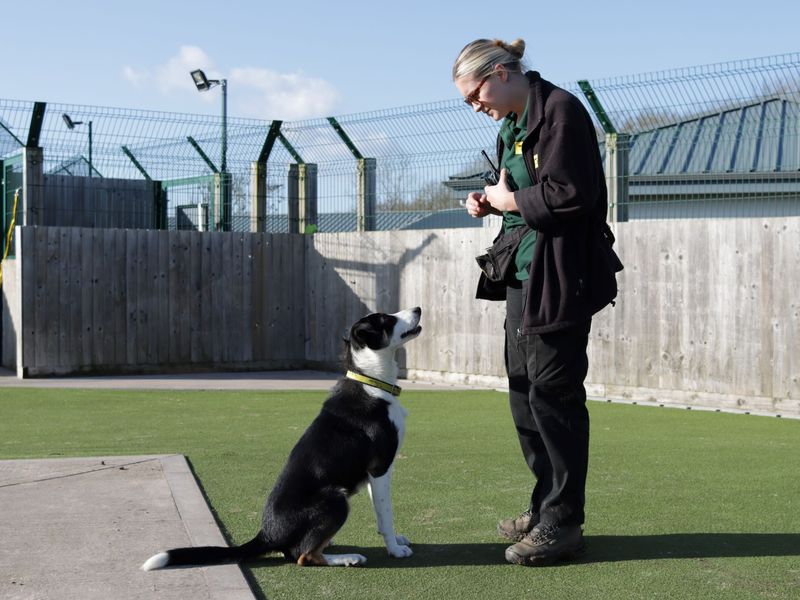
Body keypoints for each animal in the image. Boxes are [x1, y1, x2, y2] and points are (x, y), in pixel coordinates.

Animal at [141, 308, 422, 568]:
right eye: (388, 319)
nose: (418, 309)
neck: (372, 383)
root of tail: (267, 534)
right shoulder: (380, 468)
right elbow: (386, 514)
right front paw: (395, 549)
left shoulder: (374, 474)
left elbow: (380, 512)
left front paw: (395, 539)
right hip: (336, 499)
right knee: (304, 556)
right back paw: (347, 558)